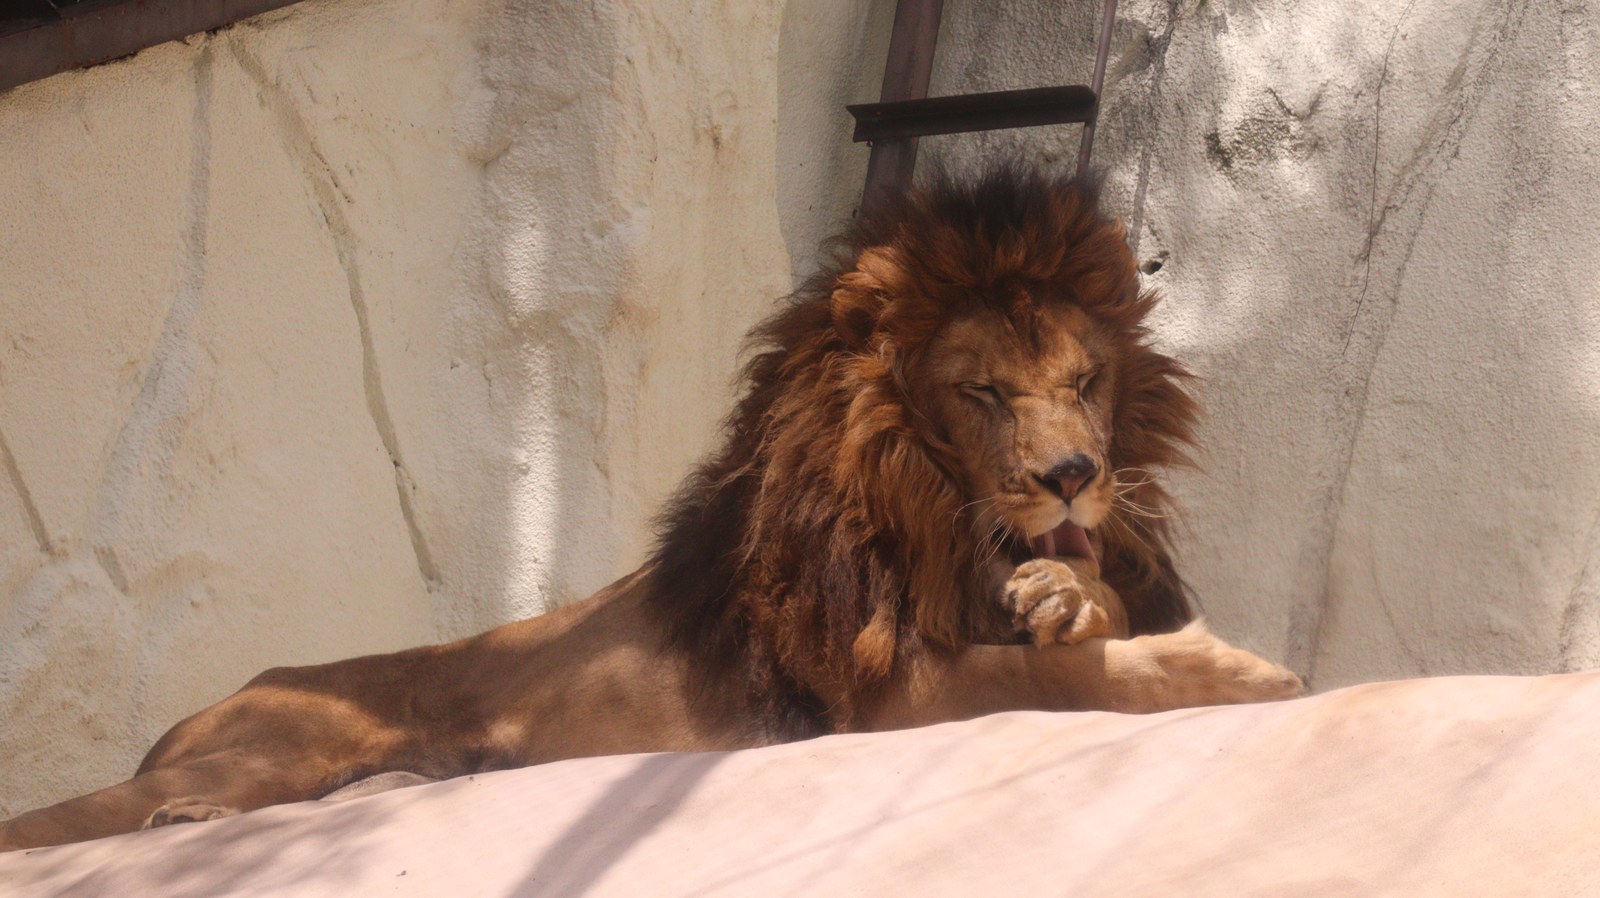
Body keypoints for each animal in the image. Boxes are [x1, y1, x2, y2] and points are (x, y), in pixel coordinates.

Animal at [0, 163, 1300, 852]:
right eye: (982, 391)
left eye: (1084, 381)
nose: (1076, 471)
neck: (935, 521)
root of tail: (195, 716)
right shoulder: (880, 698)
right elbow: (1054, 679)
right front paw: (1237, 670)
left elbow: (1077, 623)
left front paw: (1071, 592)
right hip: (265, 752)